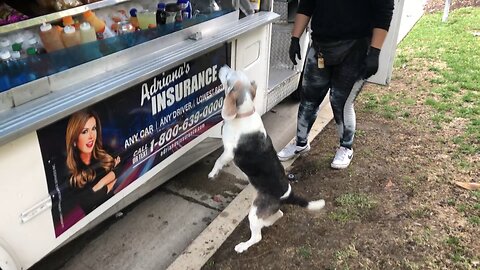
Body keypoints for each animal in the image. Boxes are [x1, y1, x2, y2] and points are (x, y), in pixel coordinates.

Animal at [208, 65, 324, 253]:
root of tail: (288, 194)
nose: (223, 67)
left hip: (255, 212)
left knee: (257, 237)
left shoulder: (228, 152)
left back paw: (243, 246)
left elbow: (218, 160)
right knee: (279, 215)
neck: (244, 113)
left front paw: (212, 174)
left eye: (228, 75)